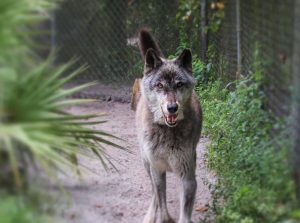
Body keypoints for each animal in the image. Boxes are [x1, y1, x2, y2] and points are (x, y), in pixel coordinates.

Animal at [134, 30, 203, 223]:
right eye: (159, 85)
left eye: (179, 84)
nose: (172, 108)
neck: (167, 131)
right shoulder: (157, 170)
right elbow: (162, 205)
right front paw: (161, 218)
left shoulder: (187, 177)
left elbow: (184, 214)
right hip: (146, 163)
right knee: (154, 195)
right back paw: (149, 216)